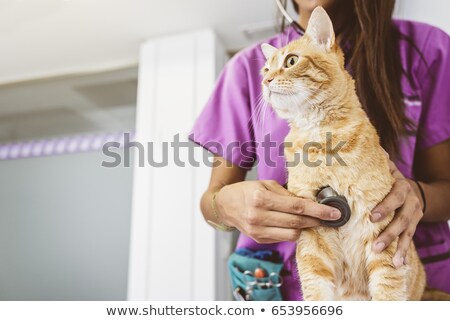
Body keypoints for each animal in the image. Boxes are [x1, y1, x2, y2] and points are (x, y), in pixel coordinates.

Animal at [260, 6, 426, 298]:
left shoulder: (383, 239)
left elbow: (388, 291)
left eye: (291, 61)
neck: (320, 141)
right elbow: (316, 291)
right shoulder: (313, 241)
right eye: (266, 68)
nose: (266, 80)